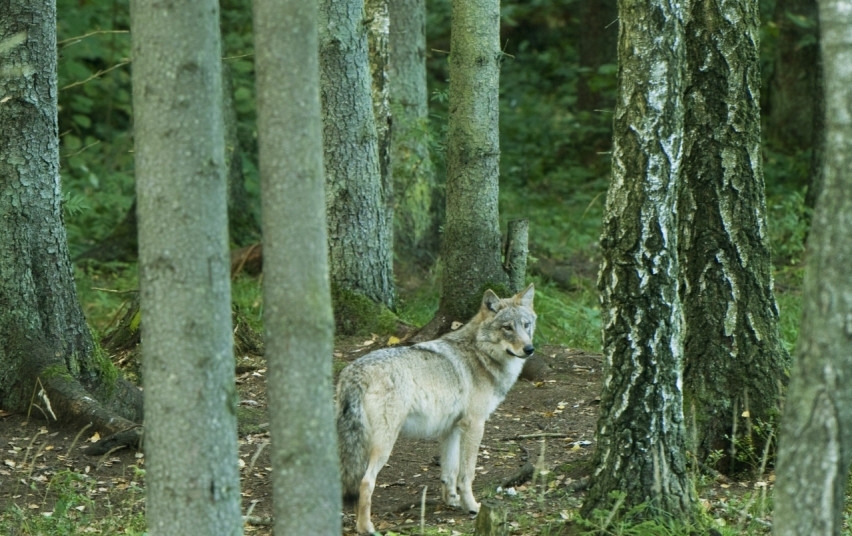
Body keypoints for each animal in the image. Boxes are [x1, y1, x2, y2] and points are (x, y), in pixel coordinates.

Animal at [336, 284, 536, 532]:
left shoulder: (451, 429)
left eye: (526, 325)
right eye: (507, 328)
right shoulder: (475, 425)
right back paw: (366, 528)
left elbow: (449, 472)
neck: (480, 354)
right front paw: (472, 507)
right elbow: (467, 473)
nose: (529, 349)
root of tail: (355, 371)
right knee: (365, 482)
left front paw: (452, 501)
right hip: (383, 444)